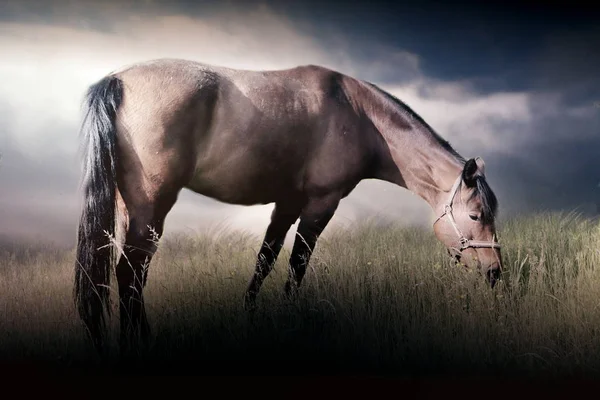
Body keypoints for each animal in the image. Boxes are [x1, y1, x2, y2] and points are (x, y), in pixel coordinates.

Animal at [72, 57, 500, 352]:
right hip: (152, 208)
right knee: (130, 273)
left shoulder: (287, 203)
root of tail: (118, 81)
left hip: (131, 209)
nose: (495, 272)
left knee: (131, 274)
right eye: (475, 214)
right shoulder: (320, 204)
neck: (359, 114)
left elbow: (265, 259)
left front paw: (251, 316)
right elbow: (297, 265)